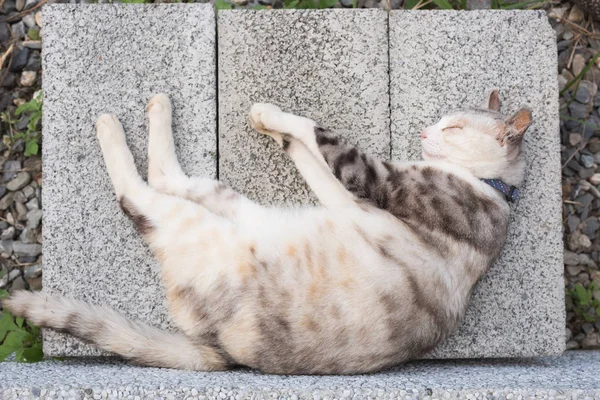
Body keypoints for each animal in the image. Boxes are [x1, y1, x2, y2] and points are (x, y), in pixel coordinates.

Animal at [3, 89, 528, 374]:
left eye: (454, 128)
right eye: (442, 120)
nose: (424, 133)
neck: (495, 189)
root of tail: (223, 352)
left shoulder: (375, 179)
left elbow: (320, 132)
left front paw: (273, 117)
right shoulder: (350, 199)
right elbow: (312, 156)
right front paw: (277, 134)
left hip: (200, 224)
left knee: (144, 189)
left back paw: (116, 124)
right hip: (229, 204)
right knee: (170, 179)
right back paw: (154, 110)